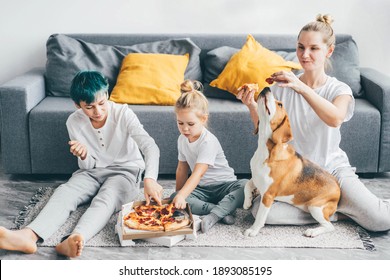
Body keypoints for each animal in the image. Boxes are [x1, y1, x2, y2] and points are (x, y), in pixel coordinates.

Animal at [244, 87, 342, 236]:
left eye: (280, 104)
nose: (267, 88)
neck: (266, 151)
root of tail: (338, 187)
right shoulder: (257, 177)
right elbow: (247, 184)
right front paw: (247, 201)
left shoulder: (268, 195)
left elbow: (260, 216)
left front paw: (253, 230)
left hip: (315, 207)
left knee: (330, 226)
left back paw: (313, 231)